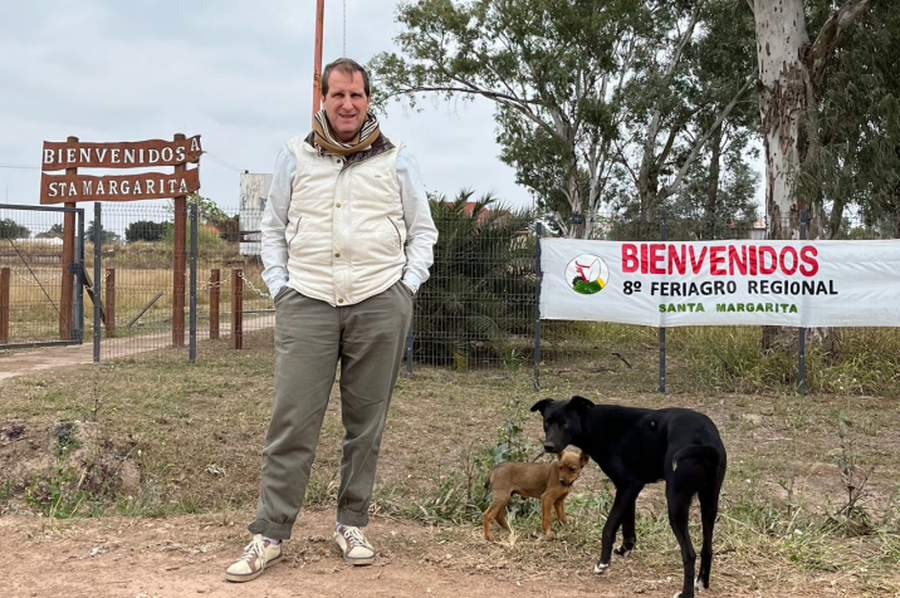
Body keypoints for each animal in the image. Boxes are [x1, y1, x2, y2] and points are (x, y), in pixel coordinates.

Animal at [532, 398, 728, 598]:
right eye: (547, 422)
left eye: (565, 424)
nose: (548, 446)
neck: (596, 423)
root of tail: (705, 440)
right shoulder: (630, 489)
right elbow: (628, 523)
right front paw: (624, 548)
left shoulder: (628, 485)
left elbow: (609, 527)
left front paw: (603, 563)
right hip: (709, 503)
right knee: (707, 548)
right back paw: (702, 582)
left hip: (676, 502)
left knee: (689, 554)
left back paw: (685, 593)